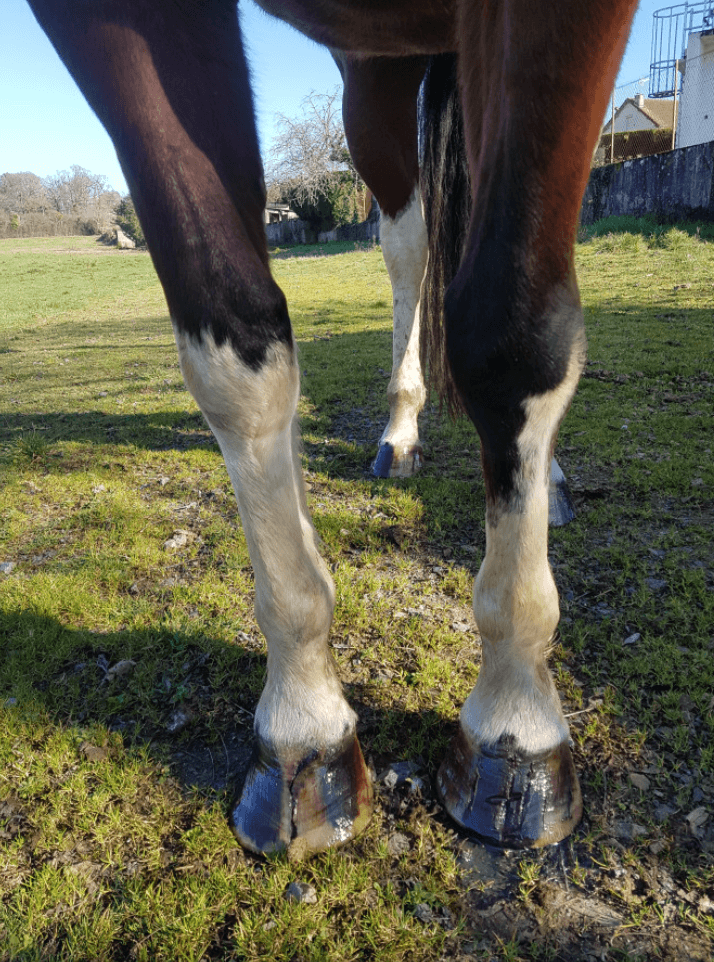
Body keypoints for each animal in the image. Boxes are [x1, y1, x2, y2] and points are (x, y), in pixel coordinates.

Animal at [26, 0, 638, 854]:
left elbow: (515, 337)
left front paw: (515, 724)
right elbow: (235, 346)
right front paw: (302, 726)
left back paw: (545, 476)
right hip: (375, 73)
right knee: (408, 239)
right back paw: (401, 430)